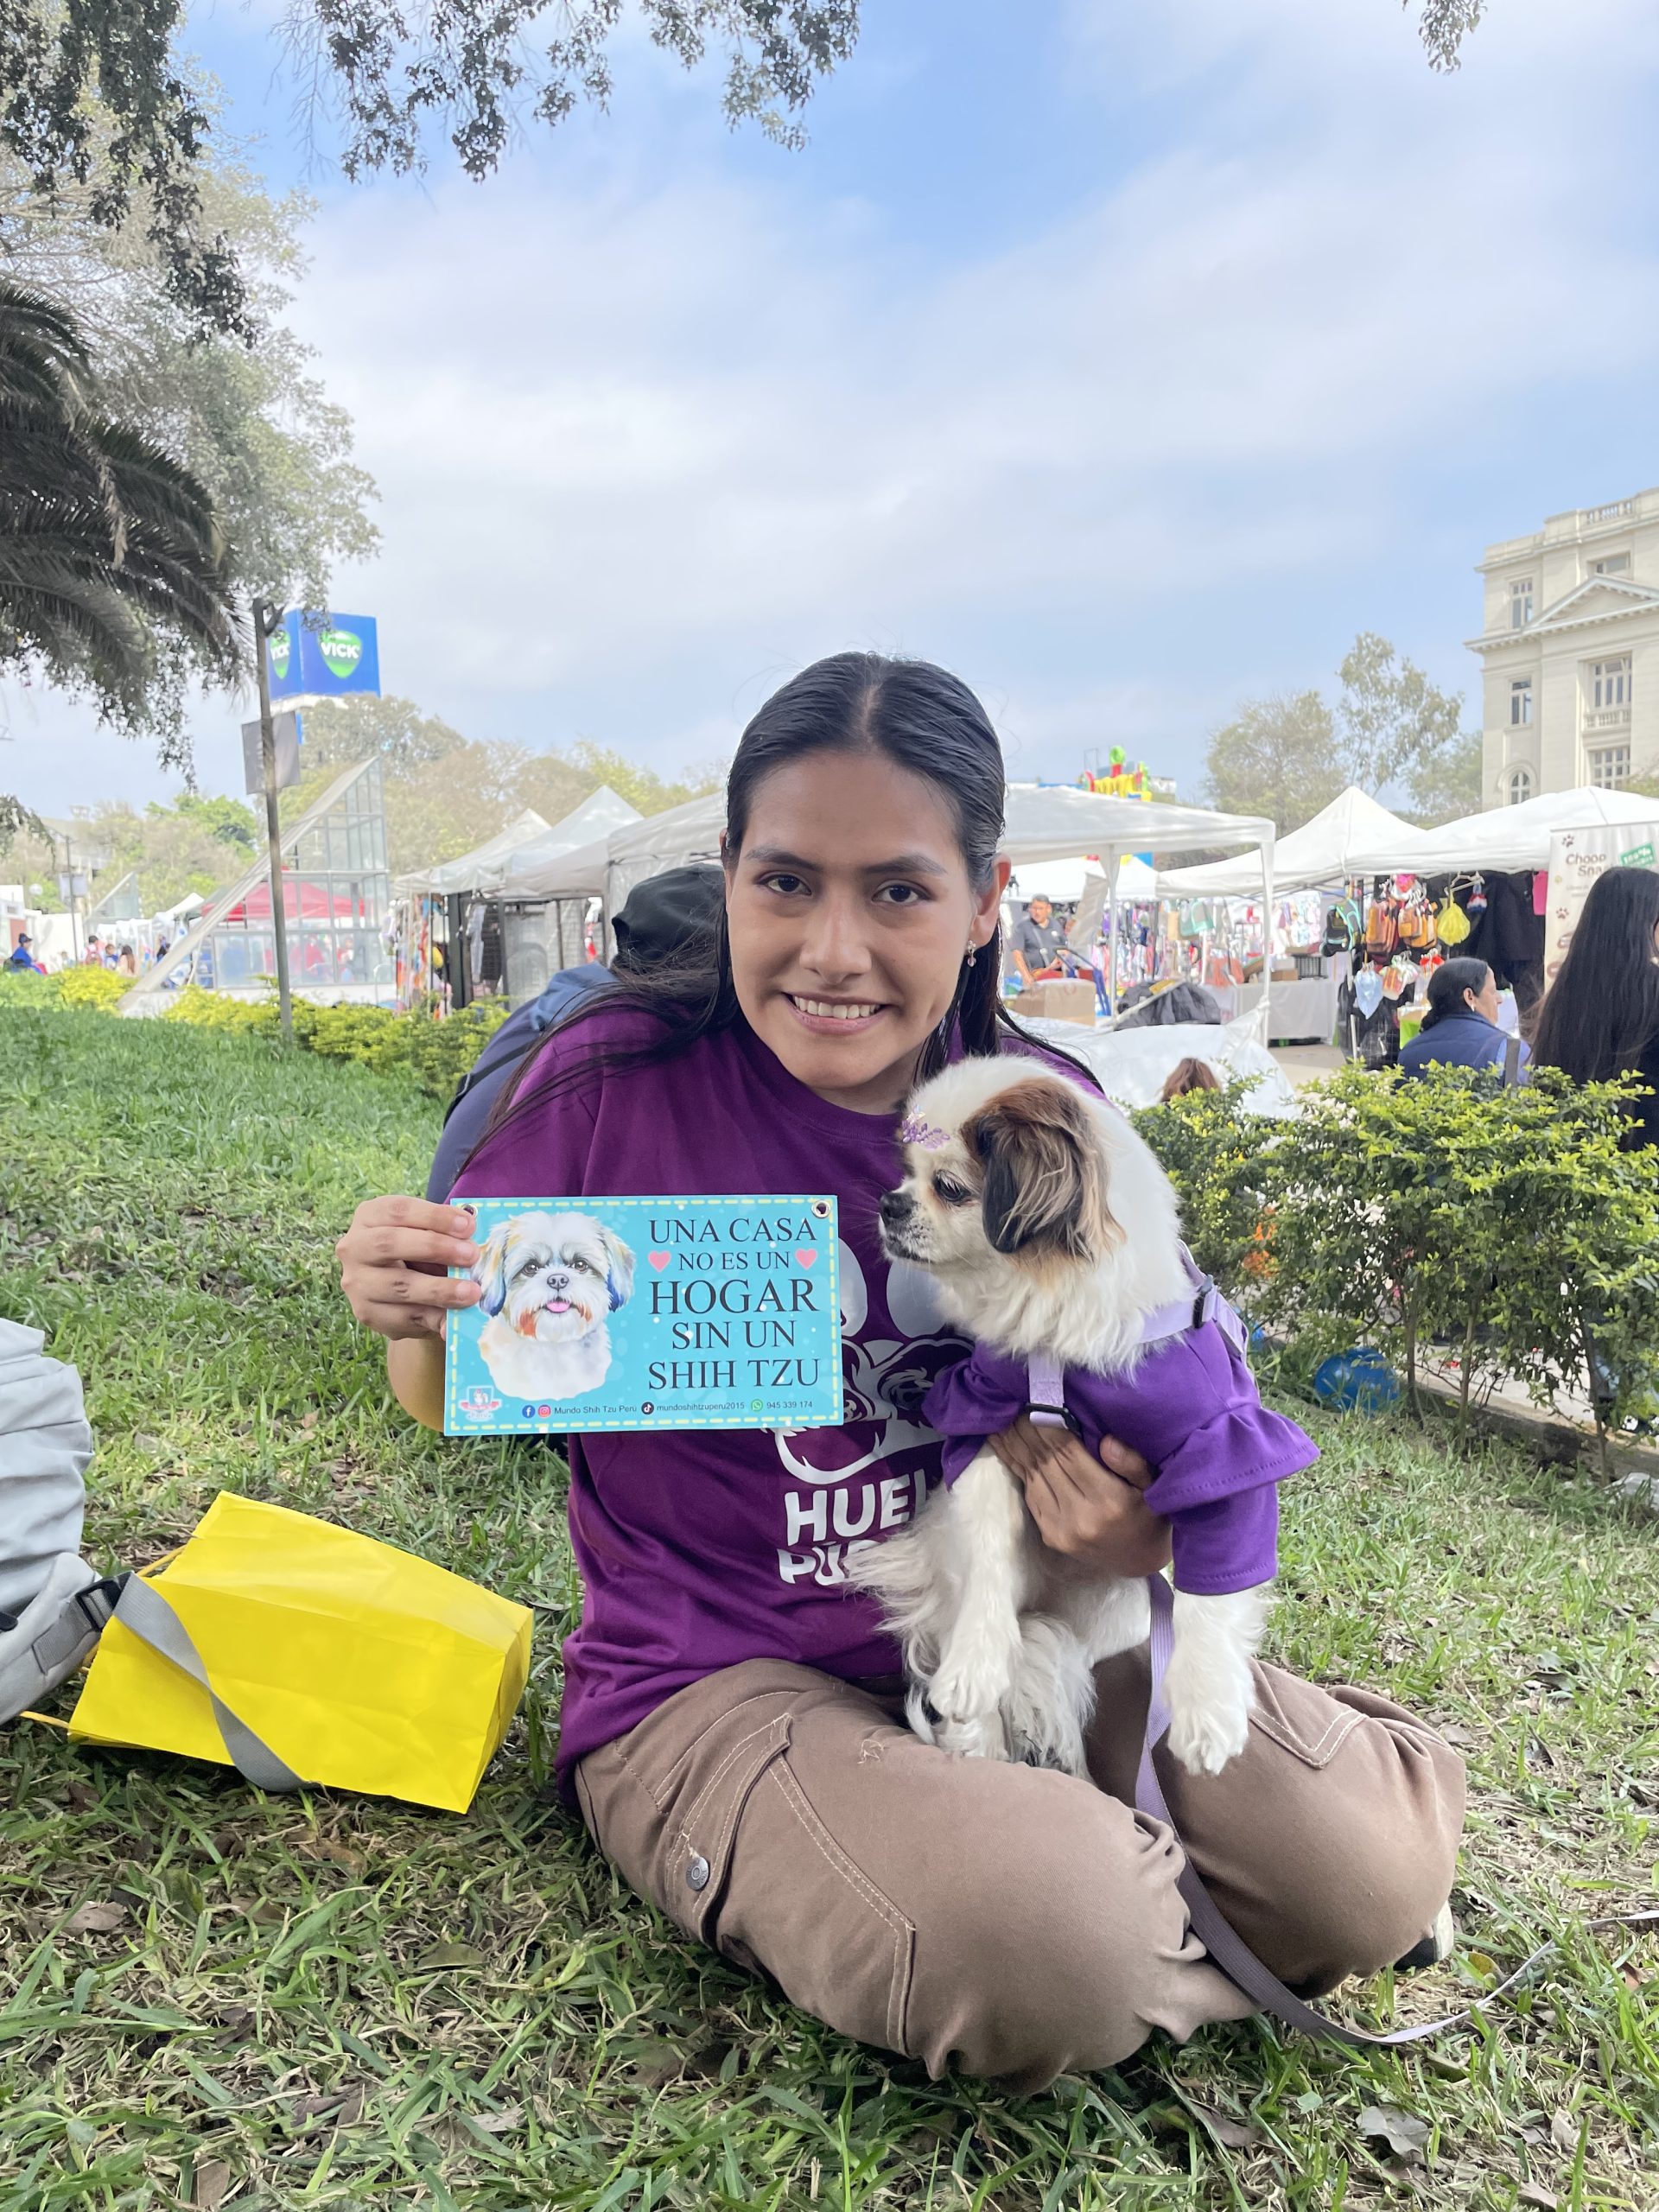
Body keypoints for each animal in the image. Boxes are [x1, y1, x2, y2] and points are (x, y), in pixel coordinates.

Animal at [848, 1057, 1315, 1780]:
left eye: (949, 1188)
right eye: (905, 1172)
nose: (890, 1203)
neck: (1058, 1335)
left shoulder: (1224, 1447)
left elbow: (1212, 1595)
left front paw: (1209, 1710)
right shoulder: (984, 1420)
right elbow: (991, 1552)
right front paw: (975, 1666)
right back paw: (976, 1736)